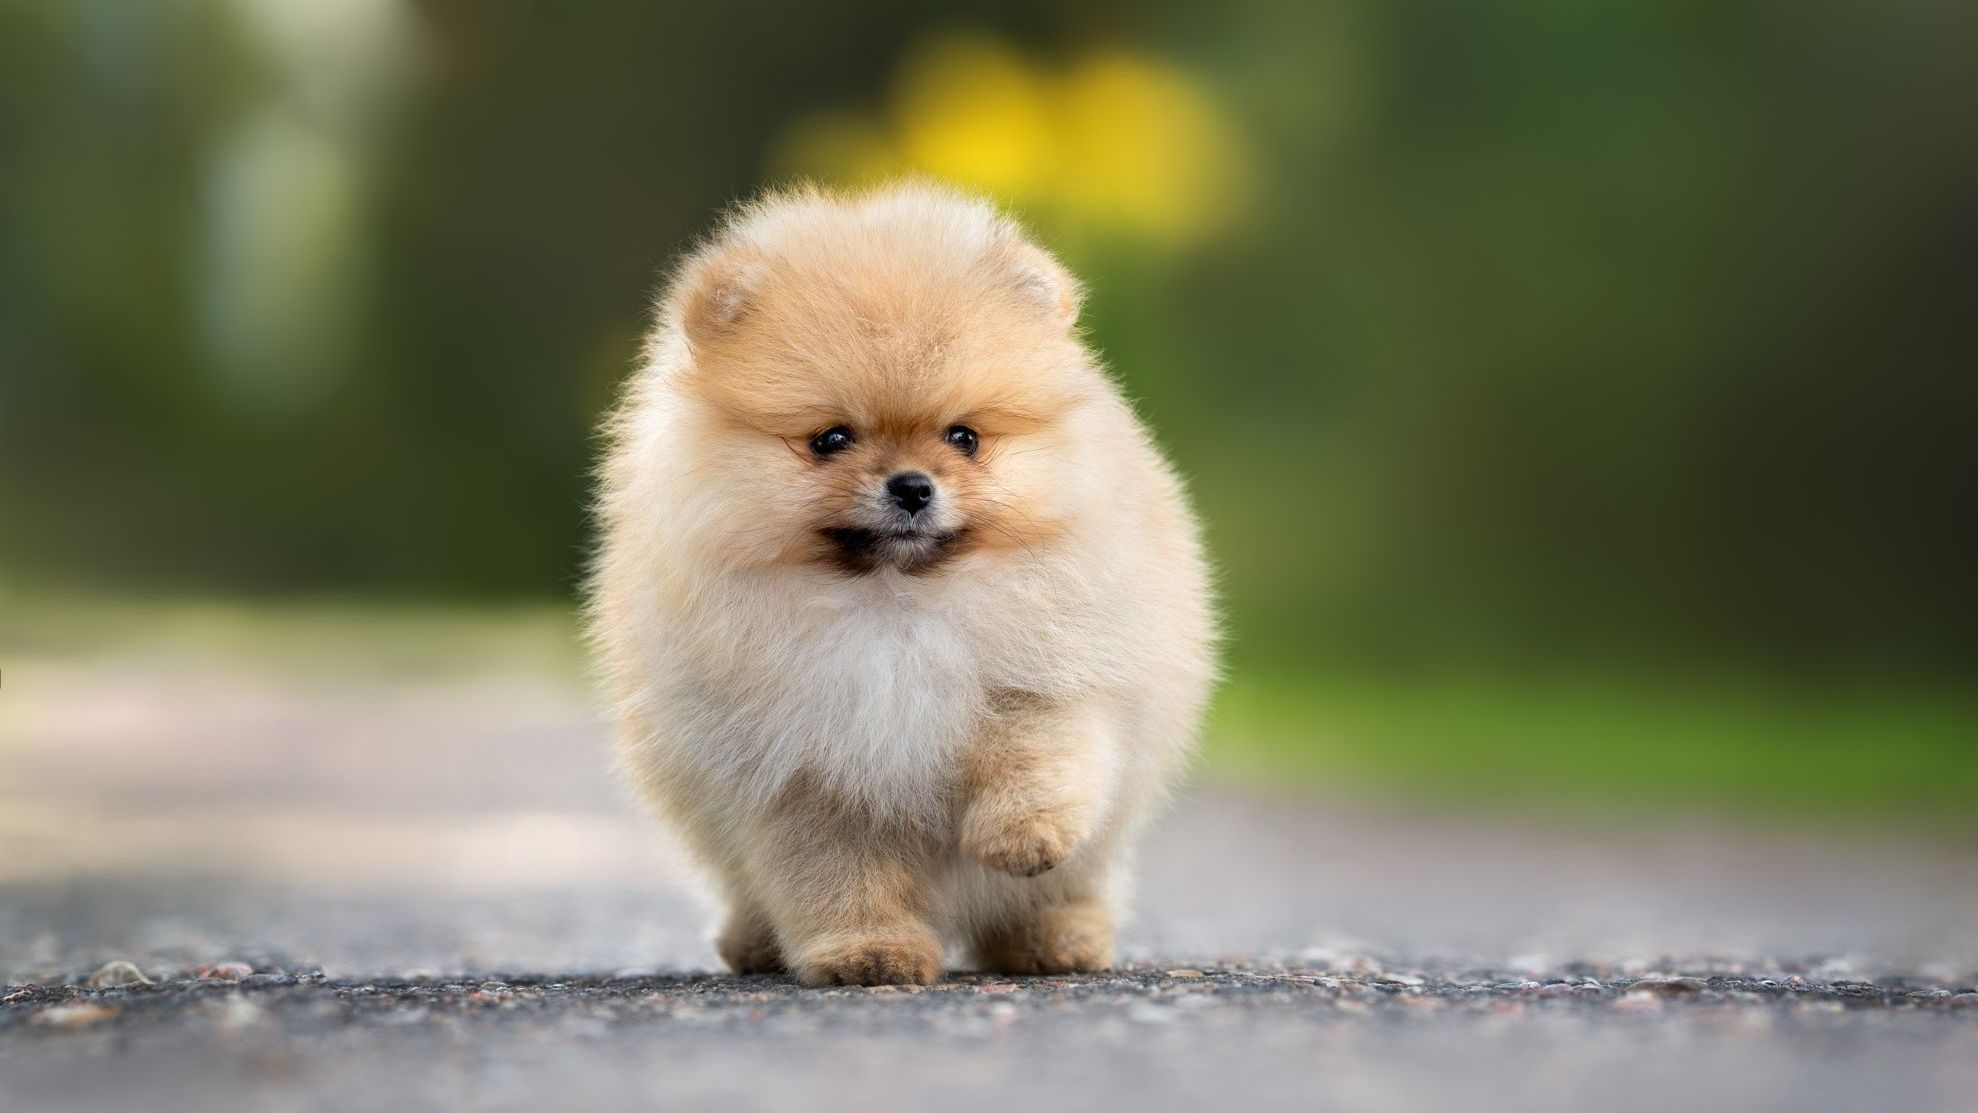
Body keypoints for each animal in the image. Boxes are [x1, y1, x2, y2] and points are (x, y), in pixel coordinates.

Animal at [585, 184, 1210, 992]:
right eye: (831, 439)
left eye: (964, 437)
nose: (912, 487)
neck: (896, 604)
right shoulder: (807, 772)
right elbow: (839, 874)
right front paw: (868, 953)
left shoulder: (1057, 673)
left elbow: (1041, 751)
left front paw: (1022, 835)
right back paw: (753, 942)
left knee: (1071, 883)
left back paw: (1058, 938)